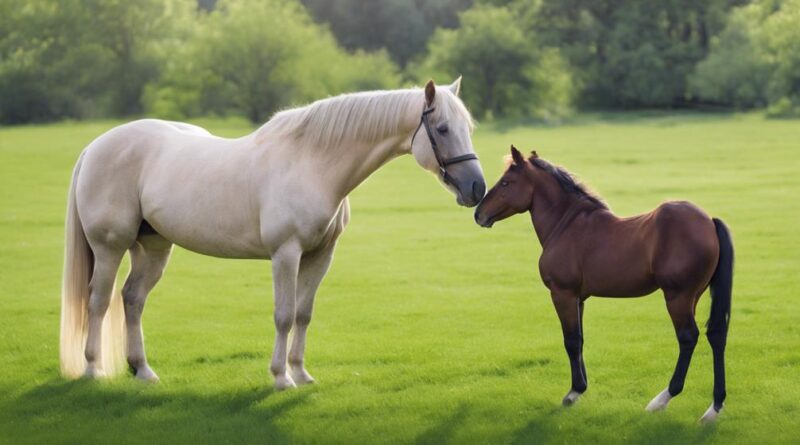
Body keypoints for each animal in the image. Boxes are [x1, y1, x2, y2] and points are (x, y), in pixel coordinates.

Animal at [59, 79, 484, 388]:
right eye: (442, 129)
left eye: (468, 128)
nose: (477, 188)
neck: (312, 164)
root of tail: (95, 147)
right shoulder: (286, 254)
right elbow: (283, 315)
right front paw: (281, 378)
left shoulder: (320, 256)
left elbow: (303, 314)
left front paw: (301, 373)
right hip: (109, 247)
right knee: (98, 301)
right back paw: (93, 370)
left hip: (153, 247)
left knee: (132, 299)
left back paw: (143, 371)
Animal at [472, 147, 736, 424]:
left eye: (506, 182)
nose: (479, 213)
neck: (566, 224)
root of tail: (709, 221)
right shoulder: (579, 298)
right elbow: (580, 340)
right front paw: (581, 388)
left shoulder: (563, 294)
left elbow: (571, 340)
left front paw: (573, 393)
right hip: (694, 296)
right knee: (716, 336)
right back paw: (714, 407)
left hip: (678, 297)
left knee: (688, 338)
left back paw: (662, 399)